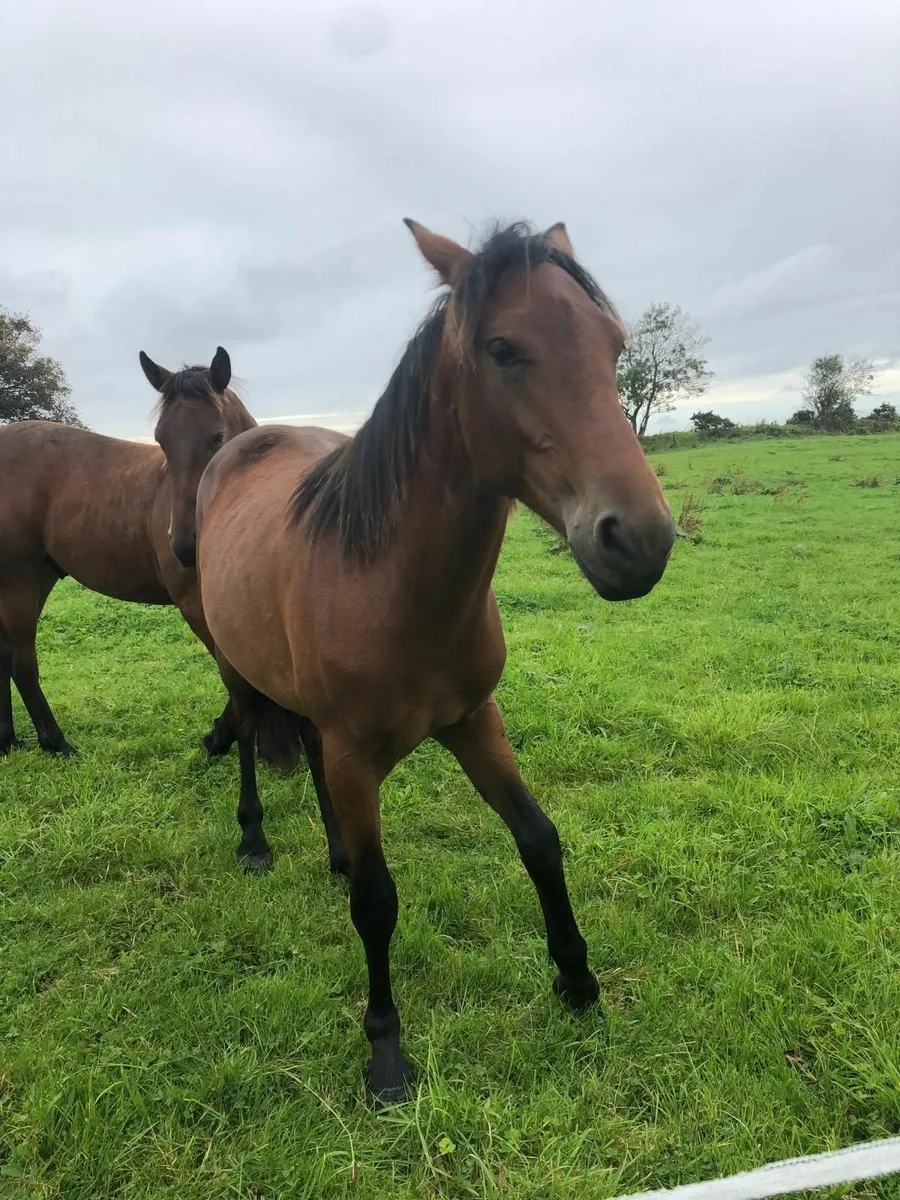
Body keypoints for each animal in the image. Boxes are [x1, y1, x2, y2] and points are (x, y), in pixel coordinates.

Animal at [0, 347, 302, 773]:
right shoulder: (197, 606)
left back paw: (8, 740)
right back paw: (56, 743)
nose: (185, 546)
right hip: (19, 578)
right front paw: (230, 740)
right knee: (22, 660)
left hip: (38, 576)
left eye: (217, 437)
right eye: (161, 440)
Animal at [195, 220, 676, 1105]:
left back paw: (333, 850)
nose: (641, 539)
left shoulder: (474, 720)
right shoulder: (357, 757)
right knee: (247, 734)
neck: (391, 586)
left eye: (615, 345)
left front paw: (578, 982)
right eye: (503, 348)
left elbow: (538, 839)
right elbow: (377, 903)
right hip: (235, 668)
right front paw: (386, 1052)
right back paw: (255, 843)